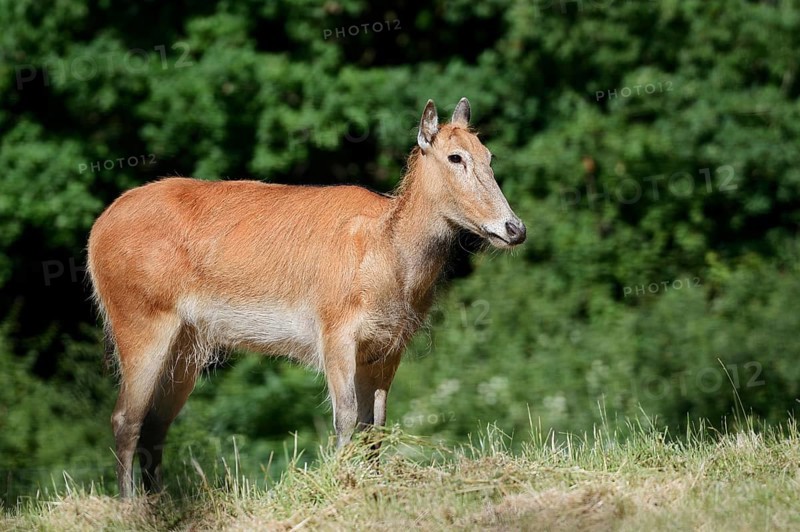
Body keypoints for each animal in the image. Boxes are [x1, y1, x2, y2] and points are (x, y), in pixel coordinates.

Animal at [87, 97, 526, 497]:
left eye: (489, 155)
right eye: (455, 157)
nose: (515, 228)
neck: (388, 262)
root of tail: (95, 235)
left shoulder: (389, 346)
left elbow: (376, 425)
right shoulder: (334, 331)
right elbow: (345, 418)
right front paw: (340, 486)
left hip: (187, 345)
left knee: (155, 424)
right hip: (139, 317)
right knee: (125, 418)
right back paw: (131, 506)